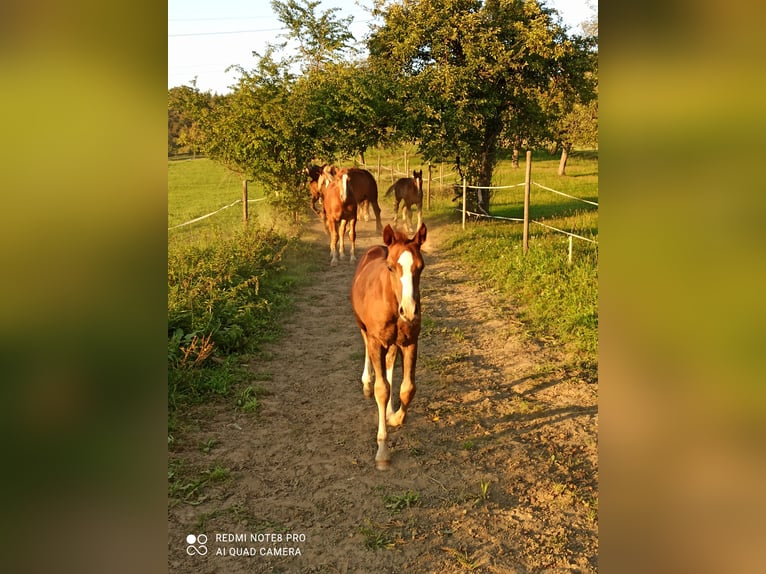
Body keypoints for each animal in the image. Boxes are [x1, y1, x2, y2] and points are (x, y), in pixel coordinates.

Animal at [352, 223, 428, 470]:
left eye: (420, 267)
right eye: (391, 267)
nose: (410, 311)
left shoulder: (411, 342)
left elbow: (407, 388)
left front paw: (394, 417)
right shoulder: (377, 341)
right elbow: (381, 390)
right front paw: (383, 451)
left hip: (394, 343)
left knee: (389, 365)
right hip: (364, 328)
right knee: (367, 351)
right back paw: (366, 382)